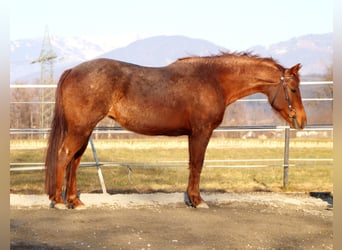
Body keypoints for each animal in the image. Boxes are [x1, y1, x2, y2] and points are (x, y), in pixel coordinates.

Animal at [45, 52, 308, 209]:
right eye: (294, 89)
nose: (302, 121)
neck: (214, 80)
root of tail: (72, 70)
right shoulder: (201, 132)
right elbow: (198, 164)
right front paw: (198, 201)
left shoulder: (193, 134)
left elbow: (192, 164)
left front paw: (191, 199)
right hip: (80, 129)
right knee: (64, 155)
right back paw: (58, 201)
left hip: (84, 129)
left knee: (75, 160)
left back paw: (74, 201)